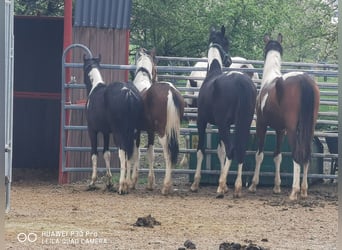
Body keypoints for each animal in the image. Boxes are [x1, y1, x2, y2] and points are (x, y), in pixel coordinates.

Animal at [83, 55, 144, 194]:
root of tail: (128, 92)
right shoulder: (106, 132)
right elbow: (107, 154)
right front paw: (109, 182)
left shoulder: (92, 131)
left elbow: (94, 154)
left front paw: (92, 182)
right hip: (135, 132)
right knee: (135, 152)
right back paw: (130, 183)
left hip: (119, 133)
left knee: (123, 153)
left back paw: (122, 186)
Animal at [132, 47, 184, 194]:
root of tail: (170, 91)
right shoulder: (150, 132)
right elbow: (151, 154)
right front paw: (150, 183)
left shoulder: (136, 130)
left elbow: (137, 153)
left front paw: (132, 181)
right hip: (174, 131)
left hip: (162, 133)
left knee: (168, 153)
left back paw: (166, 186)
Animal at [190, 25, 256, 197]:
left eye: (226, 42)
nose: (229, 60)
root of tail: (242, 83)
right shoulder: (218, 125)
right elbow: (220, 151)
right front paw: (226, 184)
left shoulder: (203, 121)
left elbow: (201, 150)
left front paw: (196, 183)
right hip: (243, 122)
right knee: (240, 149)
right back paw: (237, 187)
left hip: (223, 124)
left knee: (232, 149)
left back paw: (220, 188)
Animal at [248, 34, 320, 200]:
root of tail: (303, 79)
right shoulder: (280, 130)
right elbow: (277, 156)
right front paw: (276, 187)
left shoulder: (262, 124)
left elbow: (259, 155)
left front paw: (253, 185)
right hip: (309, 128)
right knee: (306, 156)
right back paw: (304, 190)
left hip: (293, 130)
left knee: (297, 155)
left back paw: (294, 191)